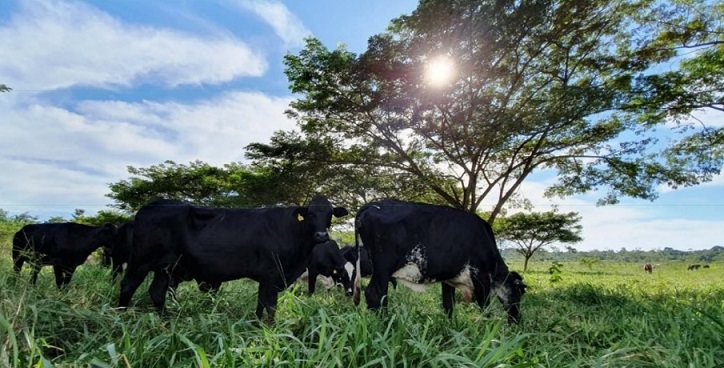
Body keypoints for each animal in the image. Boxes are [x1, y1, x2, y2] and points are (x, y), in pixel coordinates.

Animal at [119, 196, 348, 322]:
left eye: (329, 213)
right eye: (310, 213)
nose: (321, 235)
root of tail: (148, 207)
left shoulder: (267, 279)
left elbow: (261, 304)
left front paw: (257, 324)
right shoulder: (272, 276)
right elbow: (270, 306)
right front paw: (270, 328)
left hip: (165, 268)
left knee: (157, 292)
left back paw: (165, 320)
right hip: (140, 262)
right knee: (127, 285)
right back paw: (120, 315)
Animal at [352, 200, 528, 324]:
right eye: (519, 291)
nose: (517, 320)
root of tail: (371, 206)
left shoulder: (449, 279)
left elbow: (449, 305)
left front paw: (452, 327)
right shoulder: (481, 276)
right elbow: (485, 308)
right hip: (383, 269)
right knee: (375, 294)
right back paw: (385, 323)